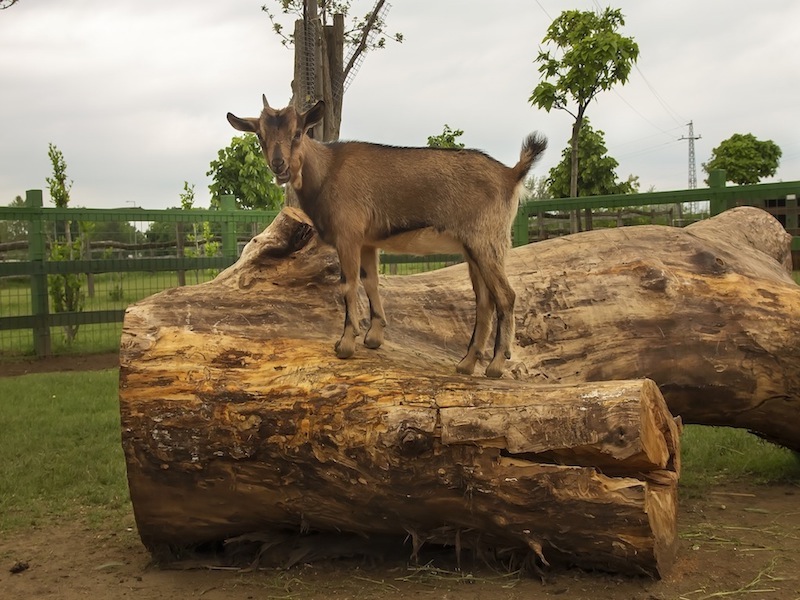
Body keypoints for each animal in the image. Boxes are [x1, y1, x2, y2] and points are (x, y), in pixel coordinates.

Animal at [228, 95, 548, 378]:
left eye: (297, 133)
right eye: (260, 136)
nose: (279, 165)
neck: (327, 171)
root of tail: (511, 174)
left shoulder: (348, 235)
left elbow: (348, 285)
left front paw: (346, 344)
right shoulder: (368, 241)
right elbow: (371, 282)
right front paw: (374, 337)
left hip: (487, 240)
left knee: (505, 296)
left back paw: (495, 365)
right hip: (473, 249)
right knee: (484, 302)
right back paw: (466, 364)